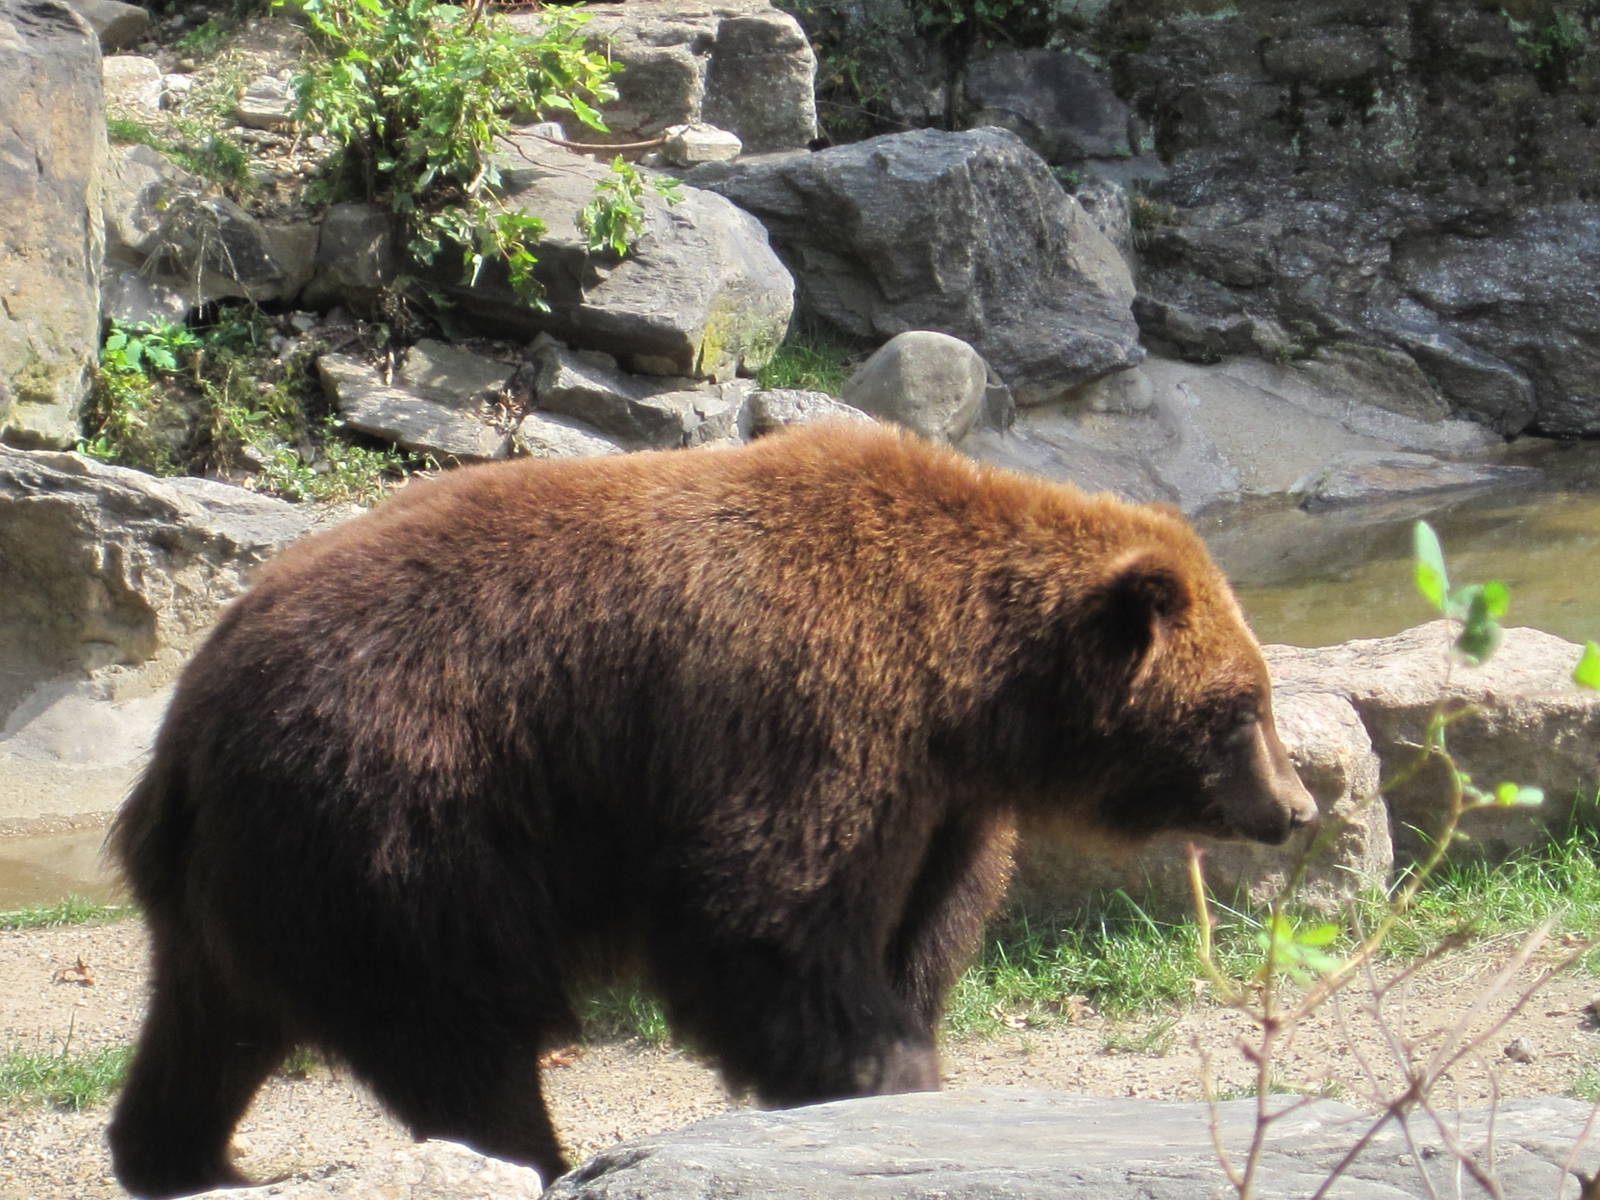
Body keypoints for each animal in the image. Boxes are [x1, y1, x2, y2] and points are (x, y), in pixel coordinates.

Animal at [107, 421, 1315, 1198]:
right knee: (452, 1028)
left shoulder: (940, 798)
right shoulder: (801, 717)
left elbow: (922, 927)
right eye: (1243, 707)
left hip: (250, 873)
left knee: (208, 1022)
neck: (962, 687)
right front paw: (876, 1077)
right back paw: (534, 1157)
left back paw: (183, 1155)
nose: (1295, 807)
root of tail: (189, 720)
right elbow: (767, 917)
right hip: (401, 820)